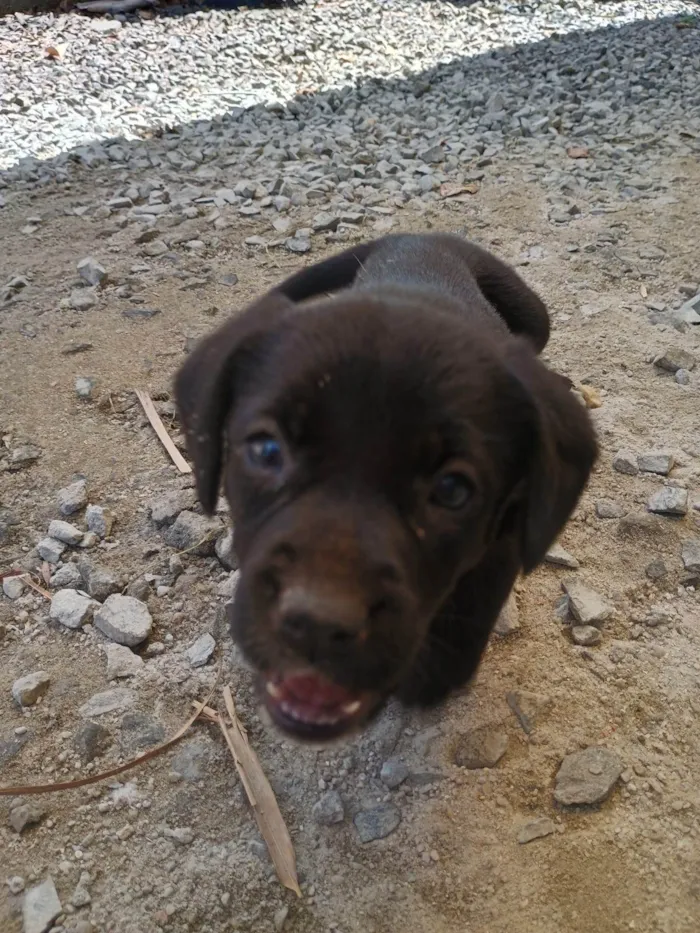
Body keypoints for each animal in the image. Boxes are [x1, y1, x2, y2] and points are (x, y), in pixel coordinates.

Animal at [175, 235, 596, 744]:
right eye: (267, 450)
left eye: (452, 490)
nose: (317, 624)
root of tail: (423, 235)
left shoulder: (505, 542)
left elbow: (458, 636)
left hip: (532, 309)